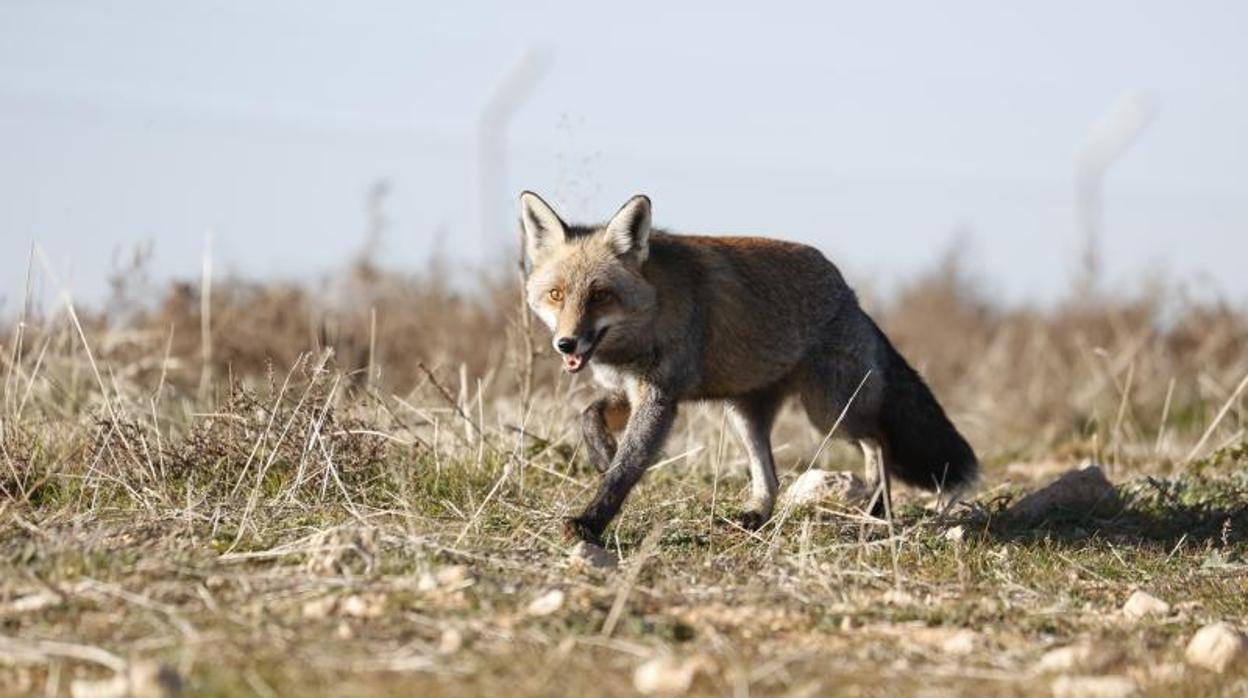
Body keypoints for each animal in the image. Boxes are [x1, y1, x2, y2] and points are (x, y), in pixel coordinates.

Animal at [521, 191, 978, 546]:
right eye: (557, 295)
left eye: (600, 295)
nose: (566, 344)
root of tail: (850, 295)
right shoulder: (630, 390)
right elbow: (589, 415)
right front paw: (601, 452)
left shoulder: (661, 398)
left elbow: (626, 468)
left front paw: (591, 521)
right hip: (745, 414)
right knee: (770, 478)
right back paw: (757, 517)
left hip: (830, 411)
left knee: (879, 441)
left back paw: (876, 510)